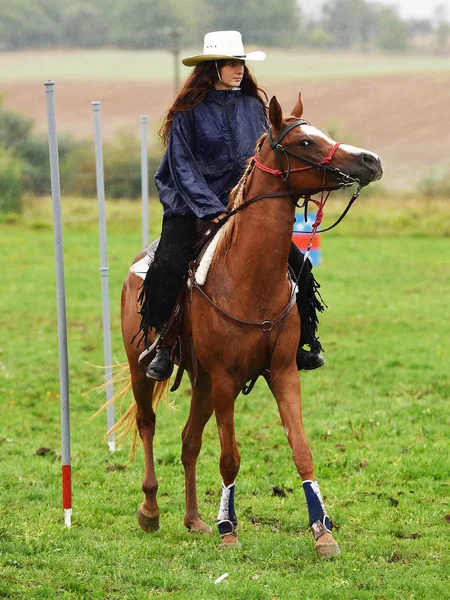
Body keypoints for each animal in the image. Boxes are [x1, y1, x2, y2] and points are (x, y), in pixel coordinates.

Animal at [118, 94, 382, 556]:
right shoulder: (226, 379)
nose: (371, 160)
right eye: (305, 141)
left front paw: (323, 532)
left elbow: (302, 451)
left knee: (189, 441)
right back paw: (151, 510)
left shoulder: (282, 372)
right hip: (142, 369)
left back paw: (194, 519)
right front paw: (229, 529)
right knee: (147, 424)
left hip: (202, 383)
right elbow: (230, 458)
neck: (247, 277)